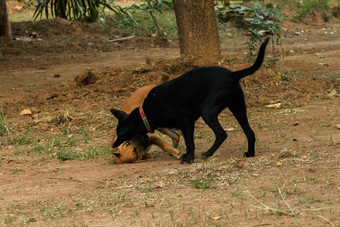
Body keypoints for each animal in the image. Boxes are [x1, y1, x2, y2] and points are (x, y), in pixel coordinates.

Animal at [113, 38, 270, 164]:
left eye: (121, 134)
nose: (113, 145)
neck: (146, 113)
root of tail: (232, 74)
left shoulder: (186, 122)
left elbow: (189, 142)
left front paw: (188, 159)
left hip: (208, 113)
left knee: (222, 134)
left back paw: (208, 153)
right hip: (238, 109)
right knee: (250, 132)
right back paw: (250, 153)